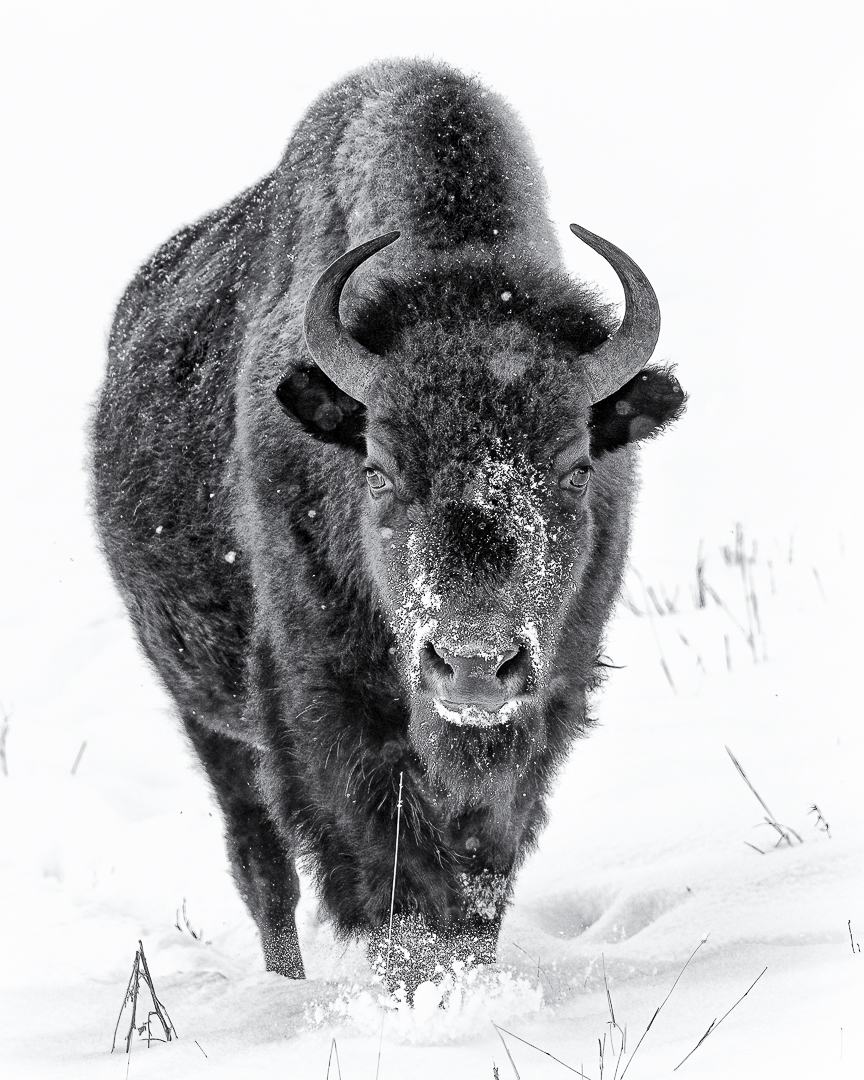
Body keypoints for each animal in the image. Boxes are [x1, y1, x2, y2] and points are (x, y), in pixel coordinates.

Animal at [91, 58, 685, 993]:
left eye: (576, 465)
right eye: (377, 469)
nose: (474, 662)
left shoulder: (544, 702)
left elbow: (479, 869)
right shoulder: (328, 705)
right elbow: (388, 866)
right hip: (206, 717)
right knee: (261, 864)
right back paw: (286, 985)